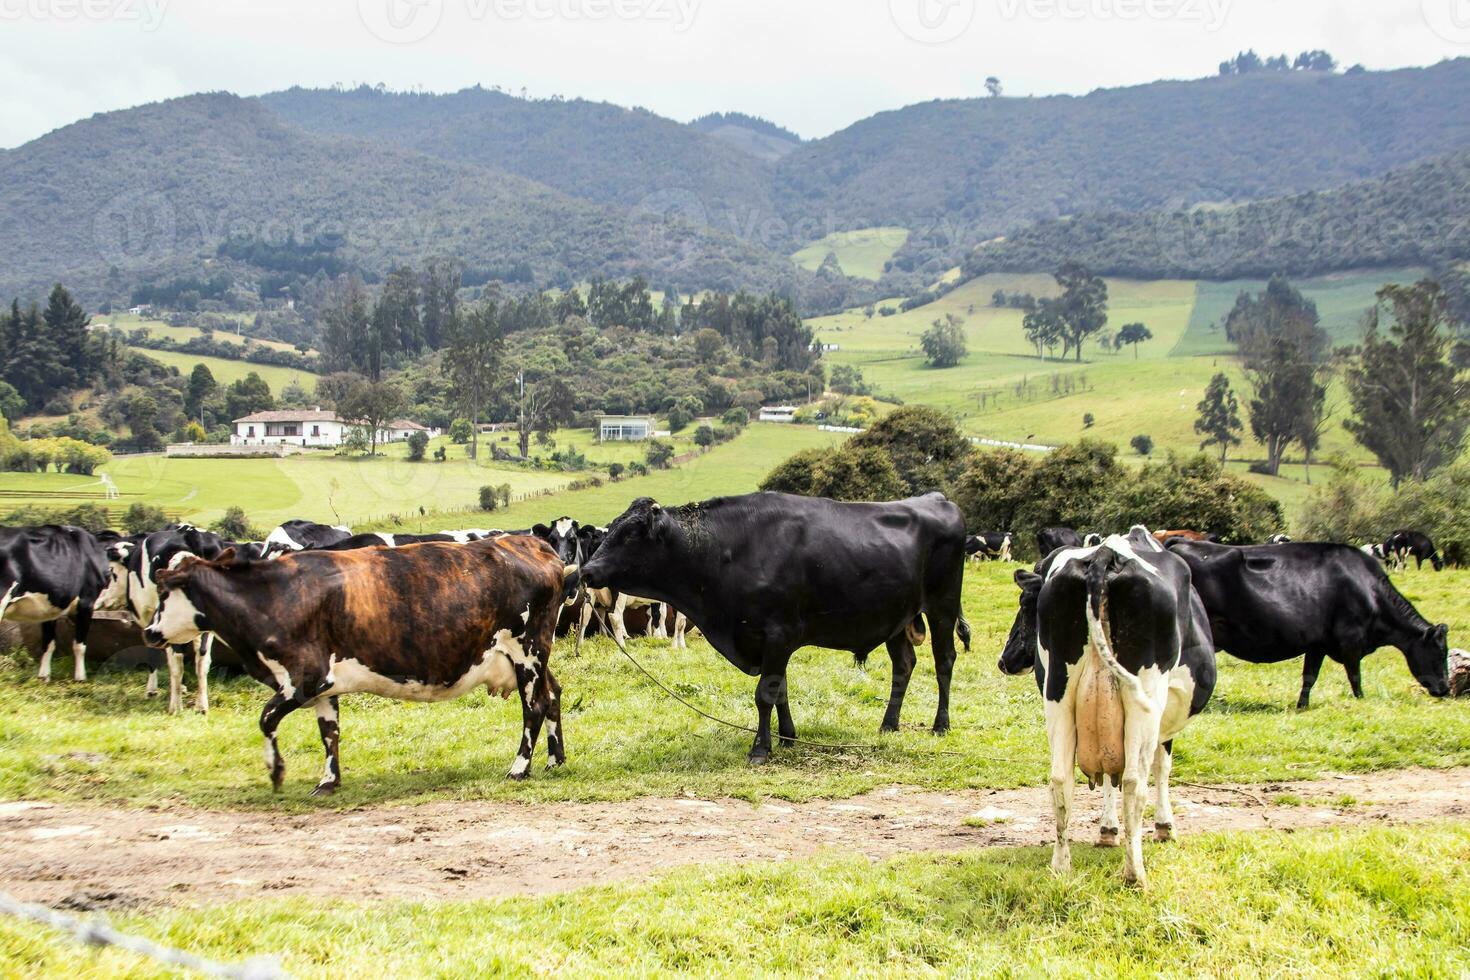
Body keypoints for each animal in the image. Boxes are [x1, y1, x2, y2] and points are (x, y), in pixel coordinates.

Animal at [0, 528, 109, 681]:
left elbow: (48, 643)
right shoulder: (87, 602)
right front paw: (80, 678)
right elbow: (79, 645)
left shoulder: (49, 609)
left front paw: (44, 677)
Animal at [141, 531, 567, 793]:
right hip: (534, 658)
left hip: (527, 652)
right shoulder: (324, 685)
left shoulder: (304, 677)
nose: (149, 632)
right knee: (554, 695)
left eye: (164, 593)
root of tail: (533, 544)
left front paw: (276, 771)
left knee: (534, 707)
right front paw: (328, 781)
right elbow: (329, 732)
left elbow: (266, 719)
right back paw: (554, 759)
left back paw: (519, 768)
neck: (274, 596)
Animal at [579, 493, 970, 764]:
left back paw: (940, 725)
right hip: (897, 620)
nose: (587, 571)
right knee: (903, 666)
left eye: (631, 535)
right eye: (611, 528)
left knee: (944, 662)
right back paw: (889, 724)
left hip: (942, 607)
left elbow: (765, 694)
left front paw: (761, 749)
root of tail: (938, 499)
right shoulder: (769, 641)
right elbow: (780, 689)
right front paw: (788, 737)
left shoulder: (779, 634)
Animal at [999, 528, 1217, 887]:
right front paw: (1164, 827)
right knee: (1133, 783)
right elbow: (1162, 767)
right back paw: (1135, 874)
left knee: (1061, 779)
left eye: (1023, 604)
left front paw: (1107, 830)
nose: (1005, 659)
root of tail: (1106, 554)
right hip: (1145, 697)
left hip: (1058, 693)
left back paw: (1061, 866)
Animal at [1164, 540, 1452, 708]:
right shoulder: (1351, 639)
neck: (1369, 591)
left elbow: (1309, 676)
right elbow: (1355, 674)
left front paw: (1302, 705)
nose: (1445, 689)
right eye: (1440, 652)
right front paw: (1361, 701)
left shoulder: (1318, 644)